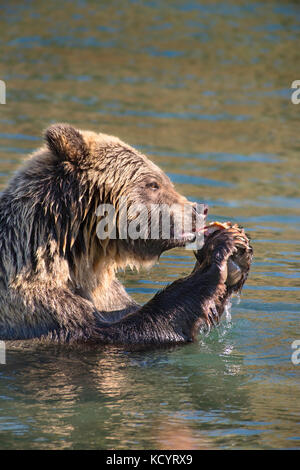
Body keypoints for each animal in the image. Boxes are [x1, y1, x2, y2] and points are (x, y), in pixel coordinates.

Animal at [0, 125, 252, 346]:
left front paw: (238, 250)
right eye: (153, 184)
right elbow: (123, 332)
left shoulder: (109, 297)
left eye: (164, 180)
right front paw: (219, 249)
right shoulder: (36, 308)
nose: (199, 209)